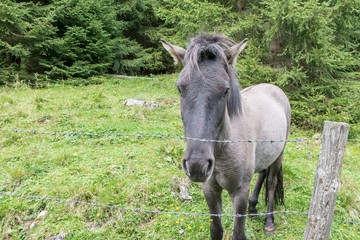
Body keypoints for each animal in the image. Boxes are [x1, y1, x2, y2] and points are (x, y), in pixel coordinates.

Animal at [162, 34, 292, 240]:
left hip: (279, 154)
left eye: (225, 90)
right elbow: (216, 229)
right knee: (262, 173)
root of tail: (274, 89)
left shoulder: (239, 193)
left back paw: (269, 222)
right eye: (180, 88)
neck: (223, 150)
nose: (197, 165)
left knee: (271, 183)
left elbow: (238, 233)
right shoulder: (210, 189)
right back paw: (253, 207)